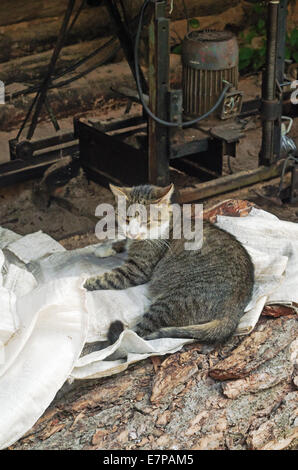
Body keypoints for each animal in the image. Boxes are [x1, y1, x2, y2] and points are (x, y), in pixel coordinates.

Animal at [84, 185, 254, 346]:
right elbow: (123, 241)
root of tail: (233, 312)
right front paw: (105, 248)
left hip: (172, 302)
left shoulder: (136, 269)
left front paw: (82, 283)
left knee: (136, 335)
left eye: (146, 222)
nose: (133, 233)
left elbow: (107, 278)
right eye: (126, 219)